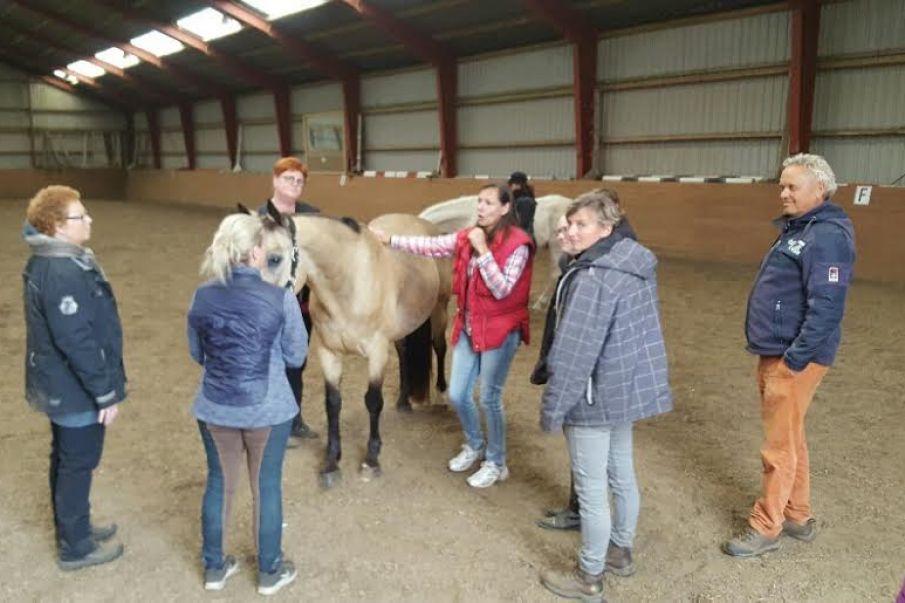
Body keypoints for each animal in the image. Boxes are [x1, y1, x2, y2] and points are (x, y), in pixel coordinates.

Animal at [264, 203, 450, 490]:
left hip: (440, 307)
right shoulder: (328, 353)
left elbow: (373, 401)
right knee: (405, 352)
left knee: (440, 347)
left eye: (274, 258)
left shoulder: (376, 353)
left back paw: (441, 393)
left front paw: (371, 459)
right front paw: (331, 461)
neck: (347, 285)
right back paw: (403, 401)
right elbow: (332, 403)